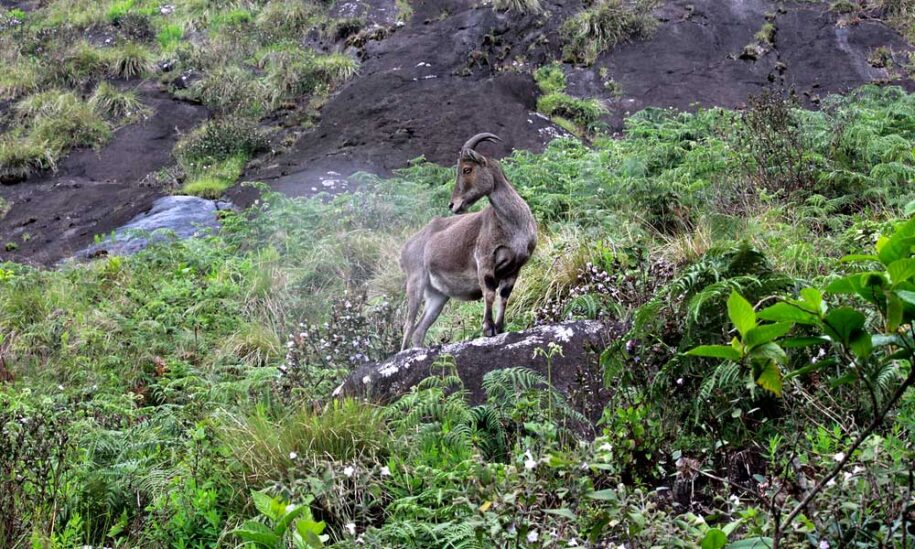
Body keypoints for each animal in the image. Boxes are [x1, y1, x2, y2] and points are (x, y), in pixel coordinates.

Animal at [398, 132, 536, 346]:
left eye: (467, 169)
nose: (453, 204)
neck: (513, 224)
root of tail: (405, 248)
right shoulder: (485, 260)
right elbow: (489, 293)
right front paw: (488, 329)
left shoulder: (515, 267)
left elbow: (504, 296)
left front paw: (500, 328)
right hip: (415, 282)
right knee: (408, 325)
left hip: (438, 296)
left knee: (419, 330)